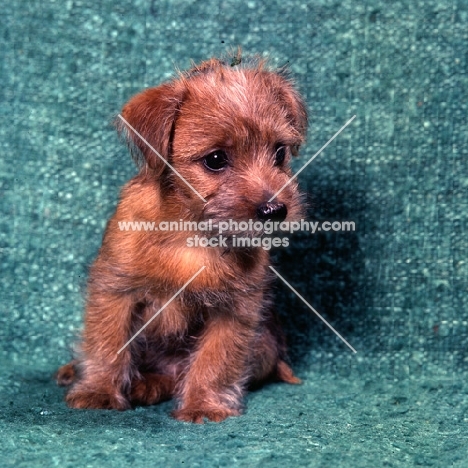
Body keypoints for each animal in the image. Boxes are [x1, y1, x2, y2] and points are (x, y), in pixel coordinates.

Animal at [55, 54, 308, 424]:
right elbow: (107, 342)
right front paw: (98, 391)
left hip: (263, 345)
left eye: (279, 153)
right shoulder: (116, 290)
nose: (275, 209)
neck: (192, 232)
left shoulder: (235, 309)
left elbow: (215, 360)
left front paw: (203, 404)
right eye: (215, 159)